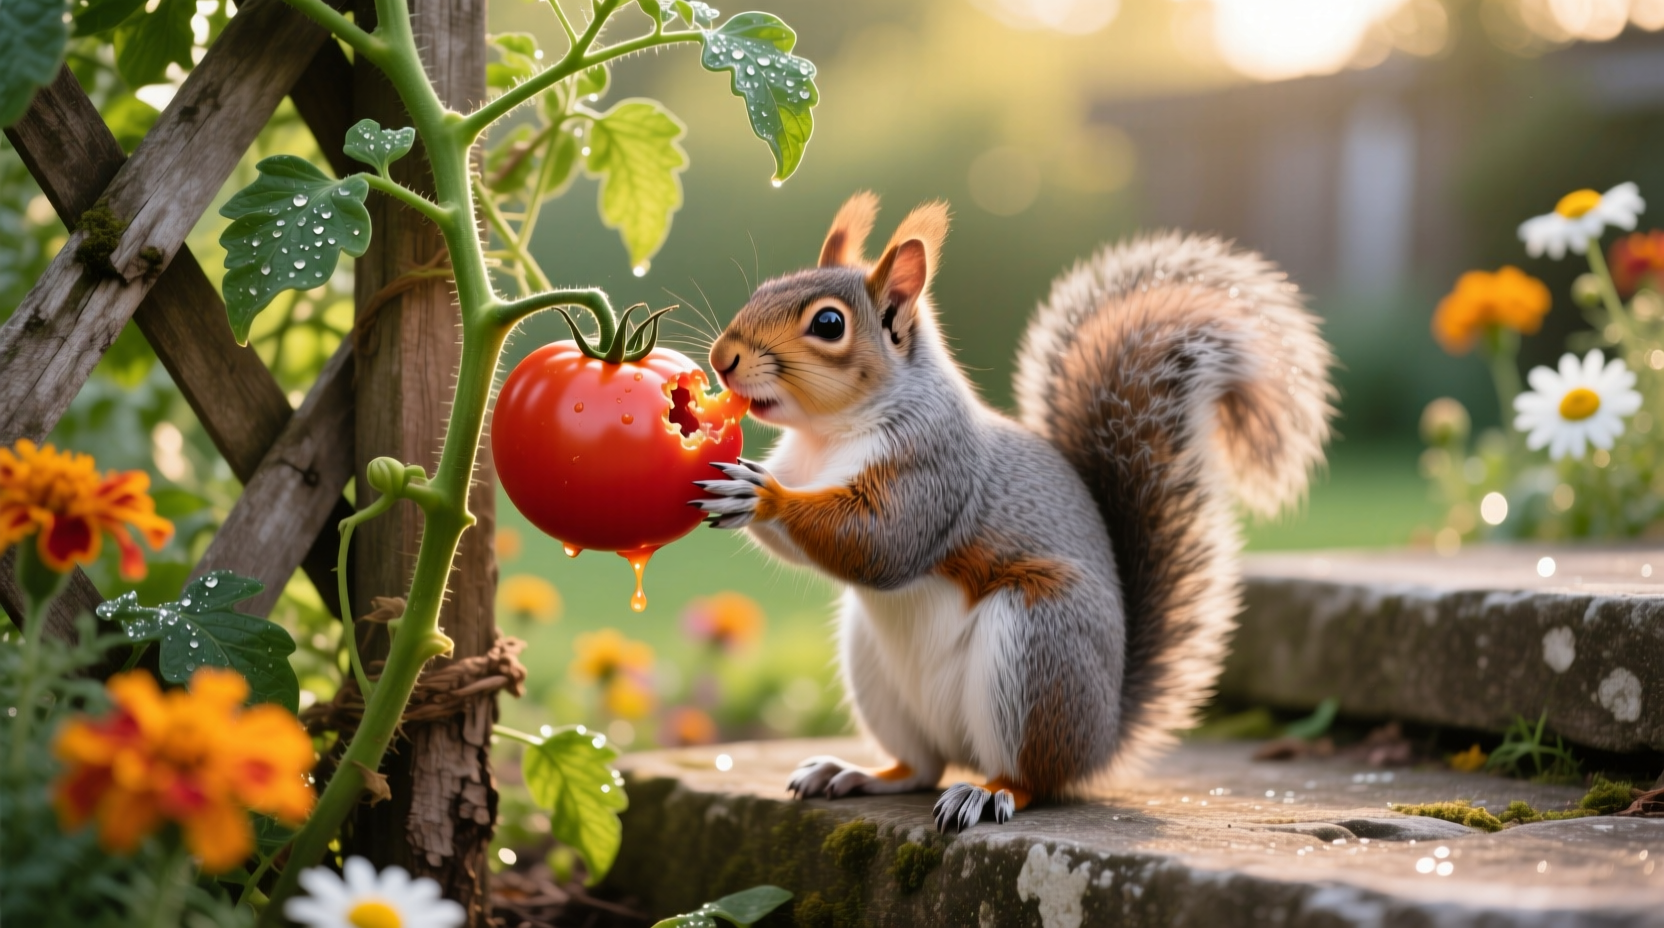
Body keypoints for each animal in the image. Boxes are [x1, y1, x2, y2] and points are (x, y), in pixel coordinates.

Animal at [691, 192, 1334, 832]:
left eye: (828, 324)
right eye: (766, 287)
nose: (722, 358)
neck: (826, 436)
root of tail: (1103, 737)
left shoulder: (935, 470)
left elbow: (880, 543)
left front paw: (764, 496)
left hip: (1036, 648)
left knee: (1033, 778)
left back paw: (986, 793)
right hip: (877, 671)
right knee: (920, 766)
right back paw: (857, 773)